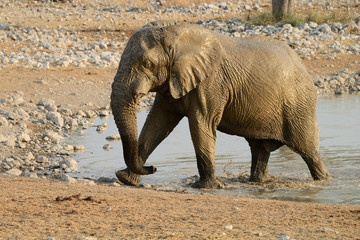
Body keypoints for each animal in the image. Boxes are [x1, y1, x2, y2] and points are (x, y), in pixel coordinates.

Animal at [110, 23, 332, 188]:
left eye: (147, 64)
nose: (154, 168)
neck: (174, 33)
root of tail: (303, 66)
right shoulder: (173, 82)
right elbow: (157, 124)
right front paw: (126, 179)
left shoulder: (211, 83)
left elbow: (201, 124)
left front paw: (205, 187)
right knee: (260, 149)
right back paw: (259, 182)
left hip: (299, 105)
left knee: (309, 151)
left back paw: (324, 182)